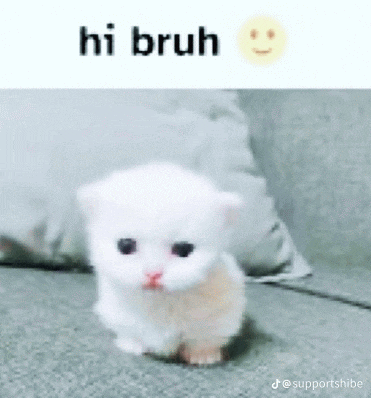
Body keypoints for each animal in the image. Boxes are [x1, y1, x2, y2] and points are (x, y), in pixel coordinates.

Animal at [78, 163, 247, 366]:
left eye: (183, 250)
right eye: (125, 246)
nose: (153, 273)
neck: (161, 300)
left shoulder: (220, 315)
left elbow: (203, 338)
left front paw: (203, 355)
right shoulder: (118, 311)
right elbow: (130, 332)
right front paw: (132, 345)